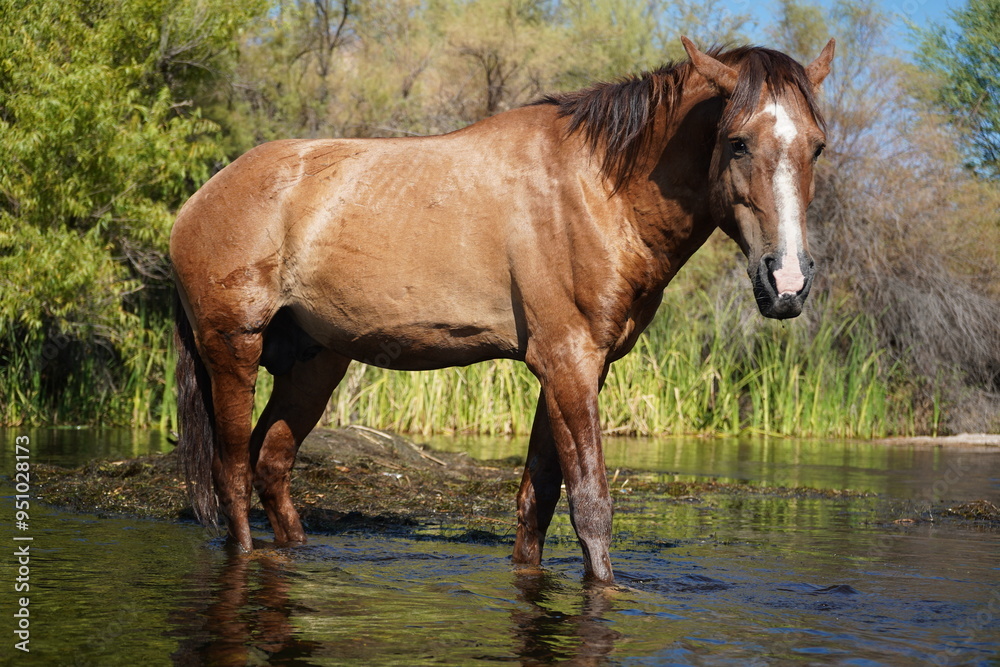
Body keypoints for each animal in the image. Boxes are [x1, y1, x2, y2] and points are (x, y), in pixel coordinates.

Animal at [171, 37, 835, 583]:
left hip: (315, 363)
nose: (787, 282)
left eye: (817, 148)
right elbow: (590, 506)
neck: (597, 190)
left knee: (271, 464)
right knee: (232, 472)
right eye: (737, 142)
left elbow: (536, 501)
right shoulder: (568, 363)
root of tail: (200, 199)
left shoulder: (577, 368)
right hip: (233, 350)